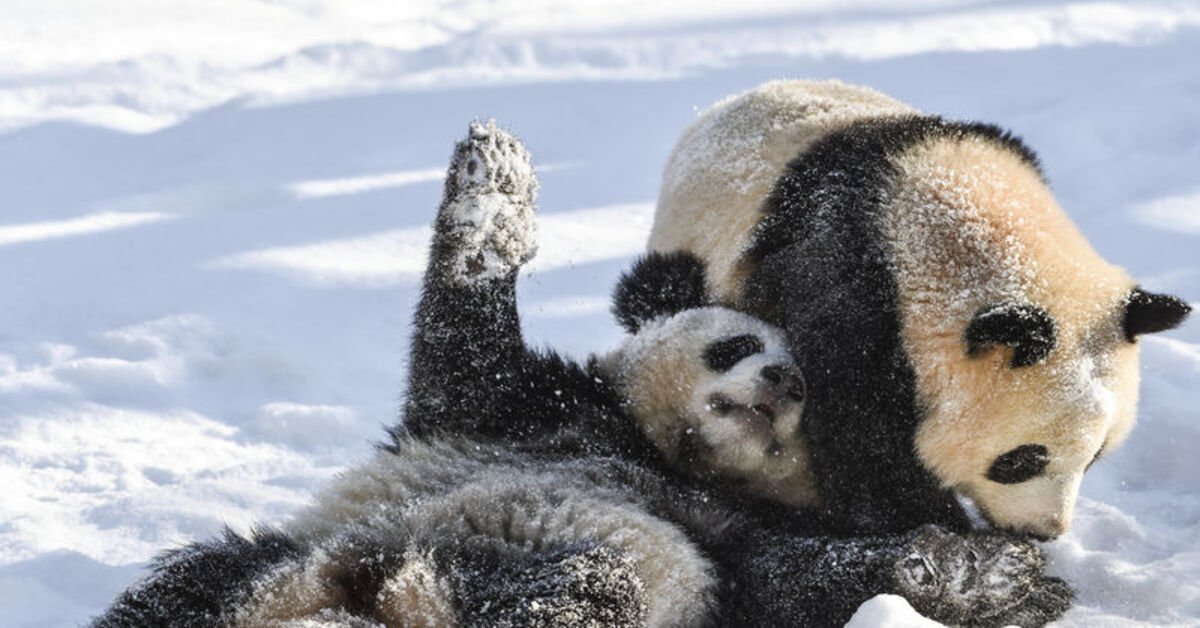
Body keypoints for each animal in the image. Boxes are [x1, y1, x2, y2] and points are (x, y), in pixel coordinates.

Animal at [93, 122, 1072, 628]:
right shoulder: (512, 411)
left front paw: (987, 576)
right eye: (733, 349)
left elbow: (803, 577)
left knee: (580, 591)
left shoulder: (732, 542)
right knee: (185, 591)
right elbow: (463, 341)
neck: (656, 450)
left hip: (579, 570)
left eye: (808, 391)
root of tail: (379, 597)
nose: (782, 387)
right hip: (292, 555)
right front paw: (494, 185)